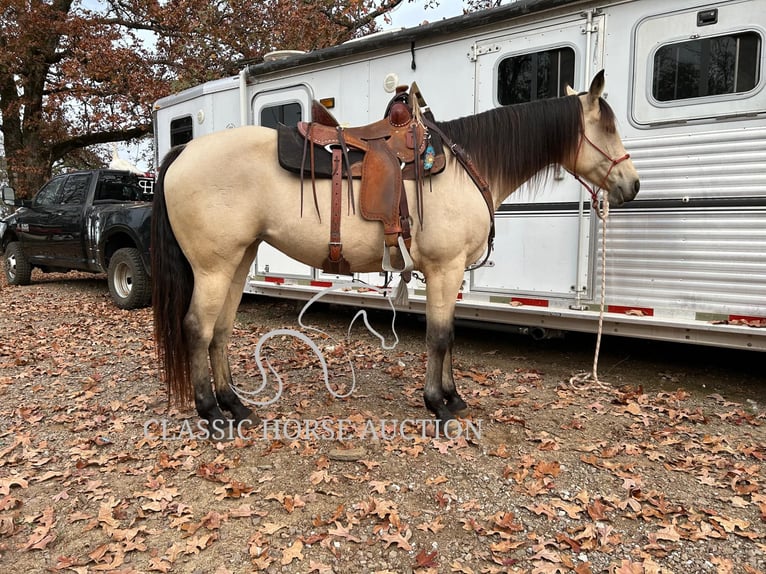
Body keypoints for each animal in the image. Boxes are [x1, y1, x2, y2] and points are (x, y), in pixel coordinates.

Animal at [150, 71, 640, 436]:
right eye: (608, 128)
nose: (632, 185)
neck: (465, 167)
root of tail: (184, 151)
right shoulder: (444, 268)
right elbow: (439, 336)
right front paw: (438, 405)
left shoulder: (450, 273)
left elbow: (449, 335)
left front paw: (454, 397)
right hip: (212, 267)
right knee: (197, 328)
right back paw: (211, 413)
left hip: (239, 259)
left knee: (221, 330)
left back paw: (235, 405)